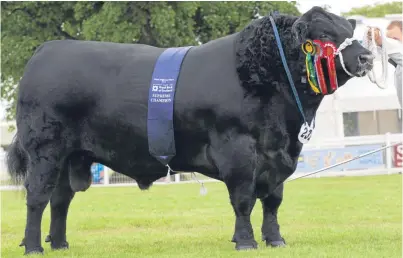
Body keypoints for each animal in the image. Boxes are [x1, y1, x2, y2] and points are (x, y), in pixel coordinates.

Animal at [6, 6, 374, 256]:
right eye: (323, 36)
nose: (367, 57)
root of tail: (47, 49)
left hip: (70, 156)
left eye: (348, 28)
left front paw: (275, 239)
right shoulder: (237, 149)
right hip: (45, 149)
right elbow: (243, 199)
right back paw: (34, 246)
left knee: (60, 200)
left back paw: (60, 244)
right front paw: (245, 241)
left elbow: (272, 200)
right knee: (37, 197)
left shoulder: (280, 154)